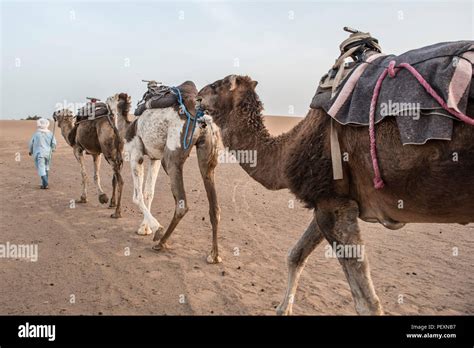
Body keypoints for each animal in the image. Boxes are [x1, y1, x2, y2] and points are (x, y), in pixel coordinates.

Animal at [197, 74, 474, 316]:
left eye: (217, 85)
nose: (198, 95)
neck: (288, 149)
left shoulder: (332, 204)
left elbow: (368, 303)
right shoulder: (329, 200)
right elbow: (295, 255)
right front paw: (282, 309)